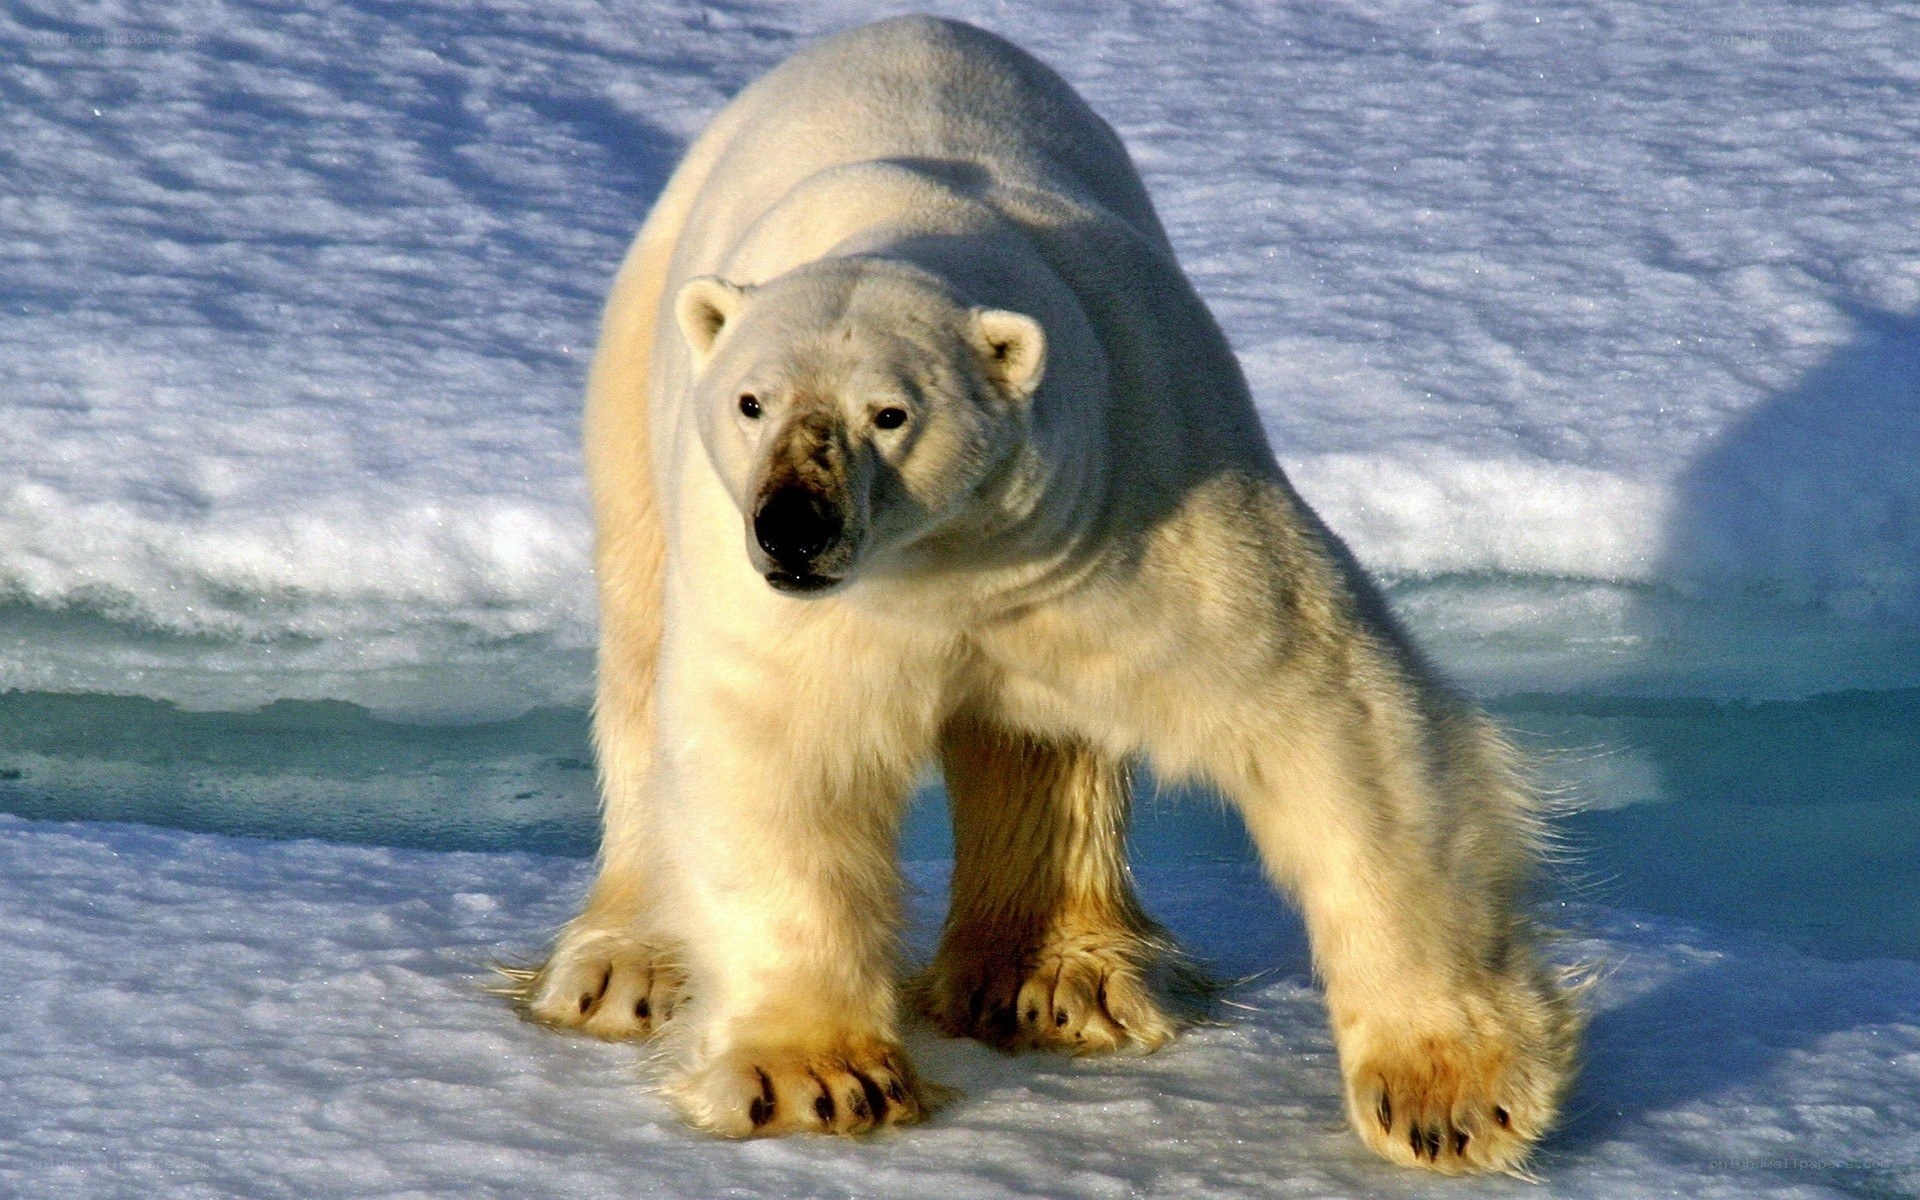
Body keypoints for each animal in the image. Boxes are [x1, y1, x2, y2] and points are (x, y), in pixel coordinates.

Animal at [504, 14, 1581, 1174]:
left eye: (890, 413)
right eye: (753, 401)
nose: (793, 525)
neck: (949, 567)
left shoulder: (1133, 498)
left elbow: (1330, 718)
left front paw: (1449, 1097)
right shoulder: (796, 605)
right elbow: (776, 754)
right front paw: (813, 1078)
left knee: (1048, 753)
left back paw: (1060, 980)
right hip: (636, 376)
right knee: (638, 649)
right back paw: (623, 966)